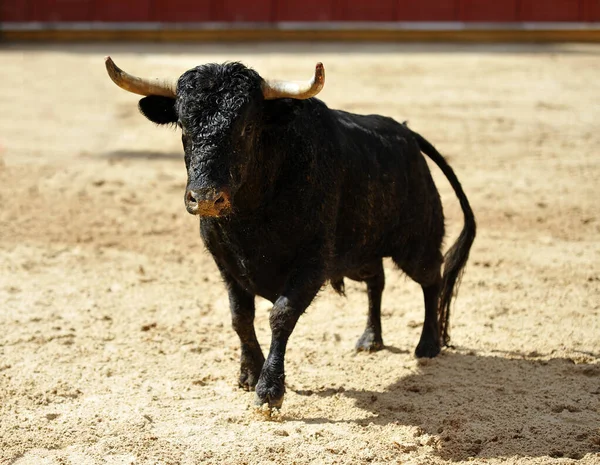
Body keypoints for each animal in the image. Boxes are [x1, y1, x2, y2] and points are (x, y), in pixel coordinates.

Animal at [106, 59, 474, 406]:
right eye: (183, 125)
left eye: (248, 127)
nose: (206, 198)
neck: (252, 215)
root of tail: (407, 134)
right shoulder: (225, 263)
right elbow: (240, 317)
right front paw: (248, 374)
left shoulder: (312, 262)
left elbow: (281, 315)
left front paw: (269, 390)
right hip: (359, 253)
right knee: (377, 280)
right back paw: (371, 339)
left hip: (416, 244)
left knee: (432, 279)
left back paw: (428, 344)